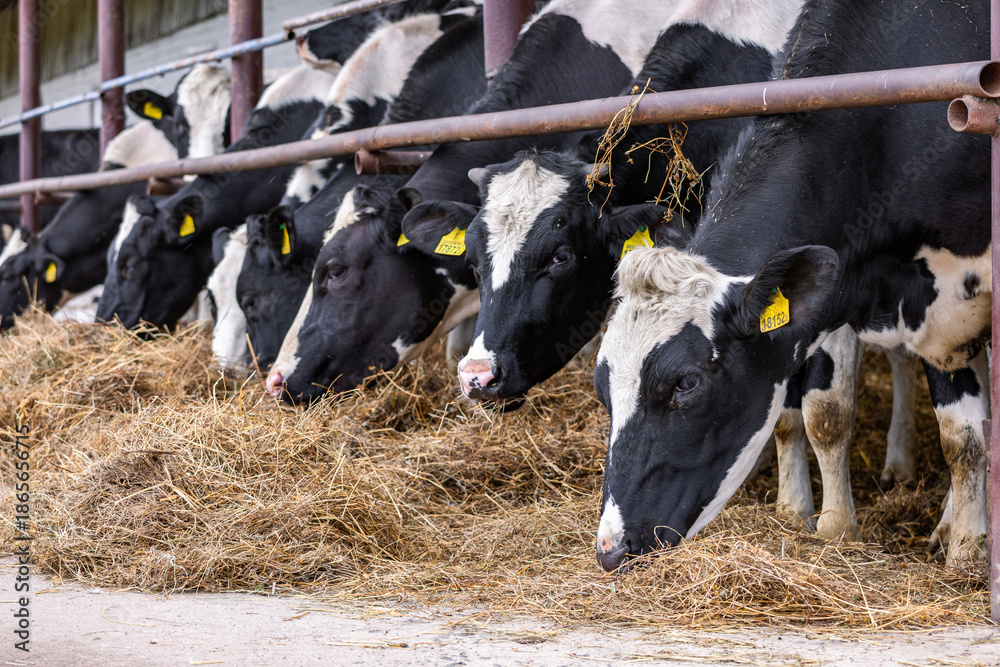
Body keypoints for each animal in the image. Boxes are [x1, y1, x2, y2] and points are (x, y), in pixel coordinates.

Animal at [593, 0, 990, 571]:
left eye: (685, 382)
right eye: (602, 387)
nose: (610, 548)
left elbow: (963, 440)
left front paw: (965, 554)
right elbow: (822, 414)